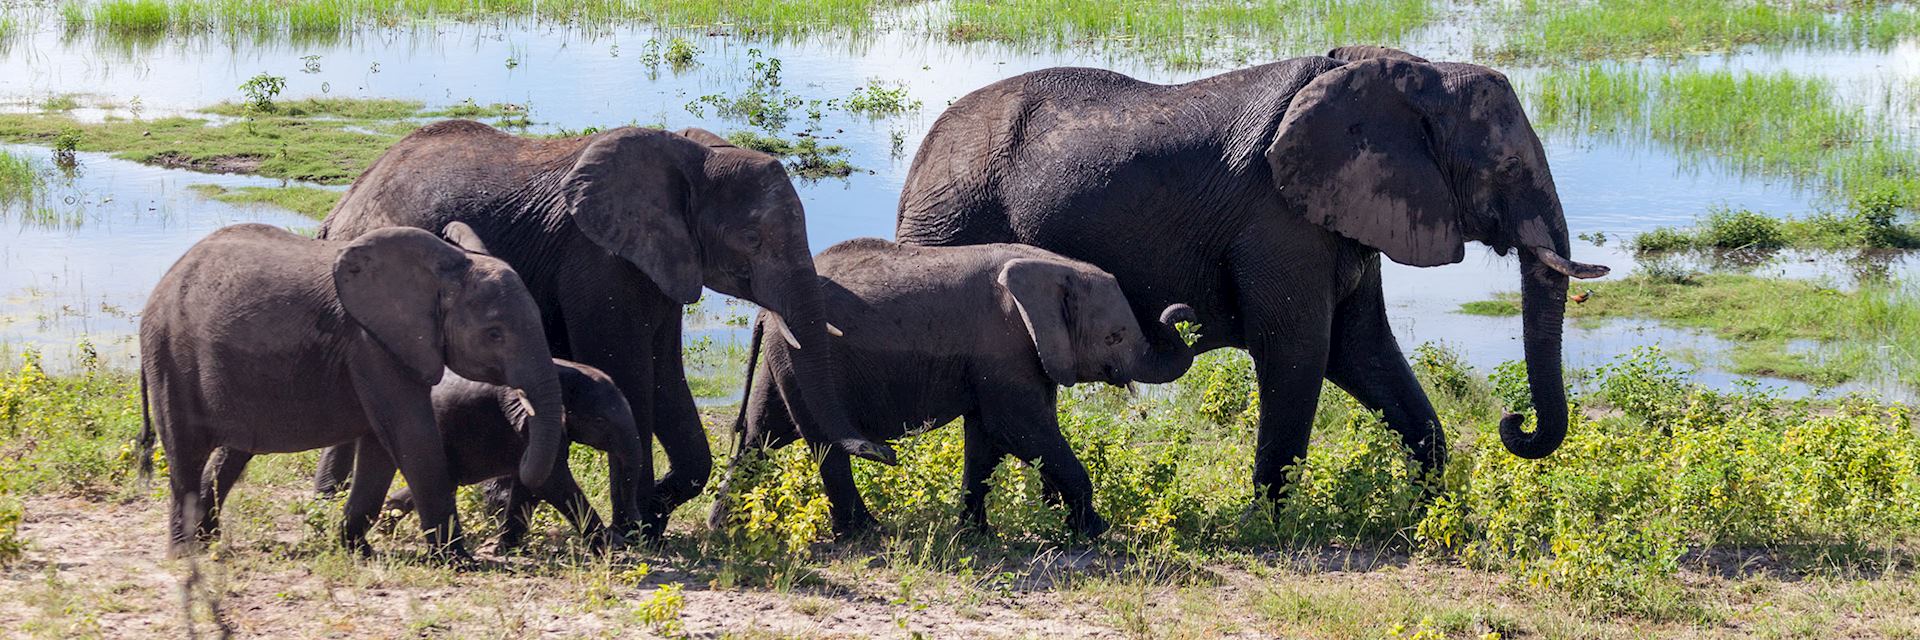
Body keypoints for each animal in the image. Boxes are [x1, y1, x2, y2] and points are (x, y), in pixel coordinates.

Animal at [138, 221, 560, 553]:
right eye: (494, 333)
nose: (520, 466)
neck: (446, 268)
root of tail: (162, 283)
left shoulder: (383, 346)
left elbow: (381, 447)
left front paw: (357, 550)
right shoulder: (372, 343)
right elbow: (412, 436)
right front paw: (460, 559)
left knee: (233, 453)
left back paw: (207, 542)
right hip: (170, 357)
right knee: (186, 454)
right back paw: (185, 553)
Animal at [378, 359, 648, 549]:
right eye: (600, 421)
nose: (633, 530)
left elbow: (529, 485)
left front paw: (506, 549)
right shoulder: (526, 422)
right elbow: (551, 482)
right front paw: (612, 545)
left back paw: (384, 526)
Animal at [714, 236, 1190, 534]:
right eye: (1115, 337)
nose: (1177, 312)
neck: (1052, 268)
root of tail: (762, 315)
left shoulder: (1009, 355)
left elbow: (986, 439)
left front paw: (976, 534)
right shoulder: (1005, 345)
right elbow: (1020, 429)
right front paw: (1093, 532)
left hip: (782, 363)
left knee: (761, 436)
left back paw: (723, 527)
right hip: (806, 361)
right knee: (820, 443)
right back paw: (865, 533)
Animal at [898, 46, 1605, 503]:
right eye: (1506, 169)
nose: (1514, 422)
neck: (1412, 75)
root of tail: (920, 160)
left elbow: (1363, 349)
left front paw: (1431, 510)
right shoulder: (1279, 220)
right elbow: (1300, 350)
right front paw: (1268, 523)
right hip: (953, 225)